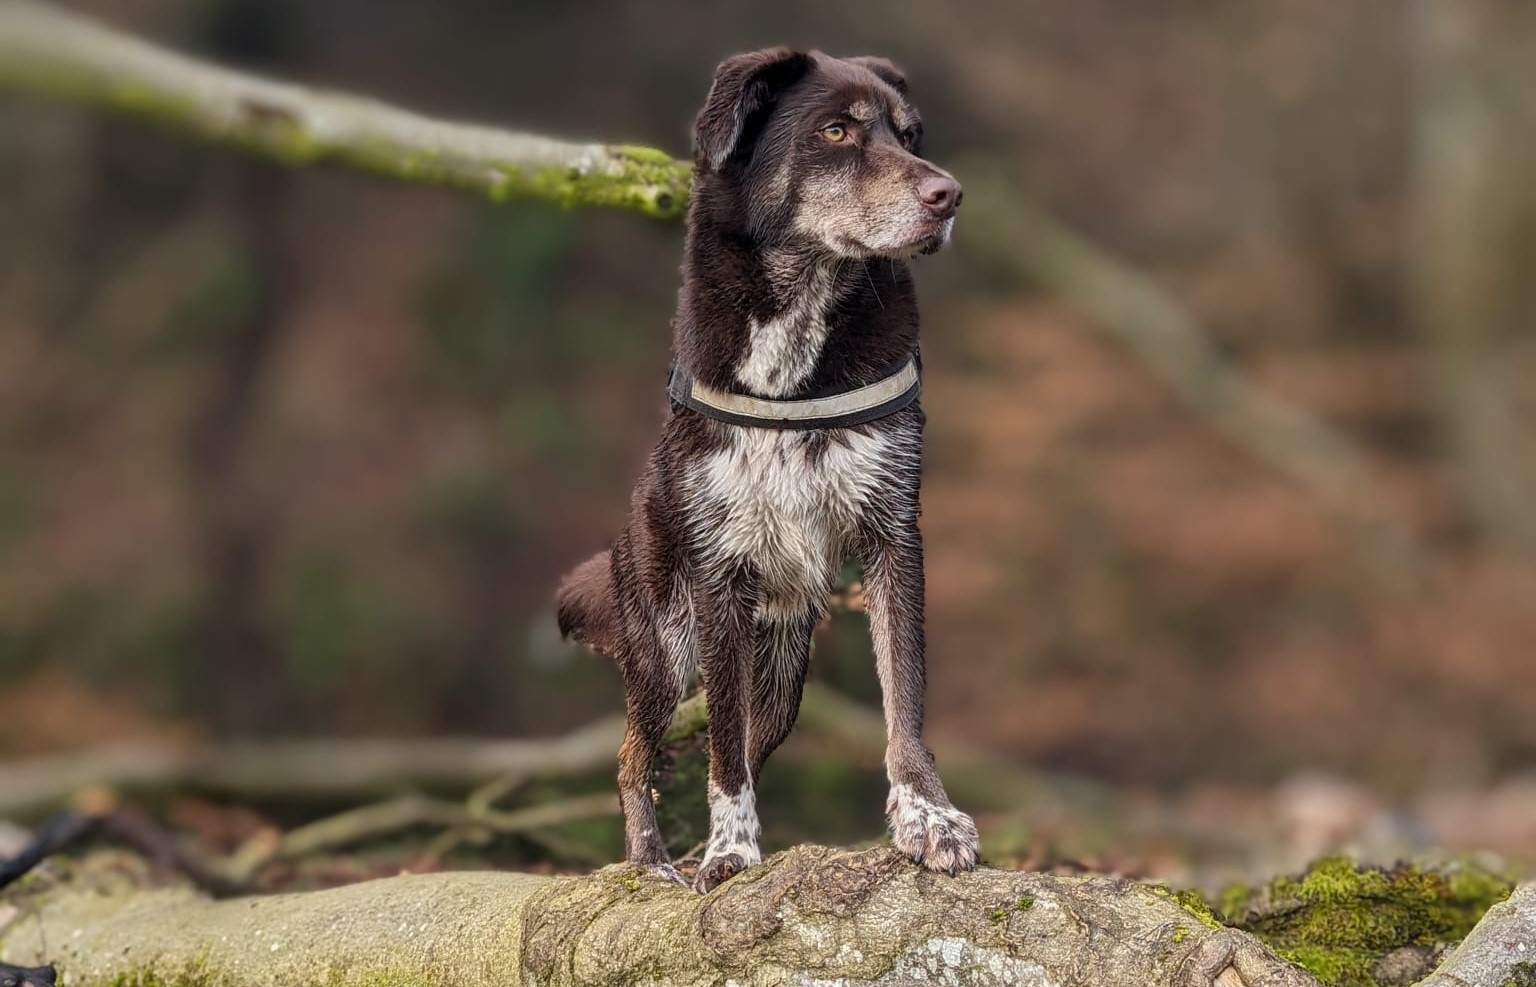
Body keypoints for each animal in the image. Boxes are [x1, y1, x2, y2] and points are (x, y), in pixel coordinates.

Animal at [559, 48, 976, 896]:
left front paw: (930, 818)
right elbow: (721, 749)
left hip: (781, 677)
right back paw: (652, 863)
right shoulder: (720, 573)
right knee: (633, 754)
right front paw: (729, 852)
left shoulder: (894, 536)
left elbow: (904, 696)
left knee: (747, 736)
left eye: (910, 134)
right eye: (837, 130)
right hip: (665, 647)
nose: (948, 195)